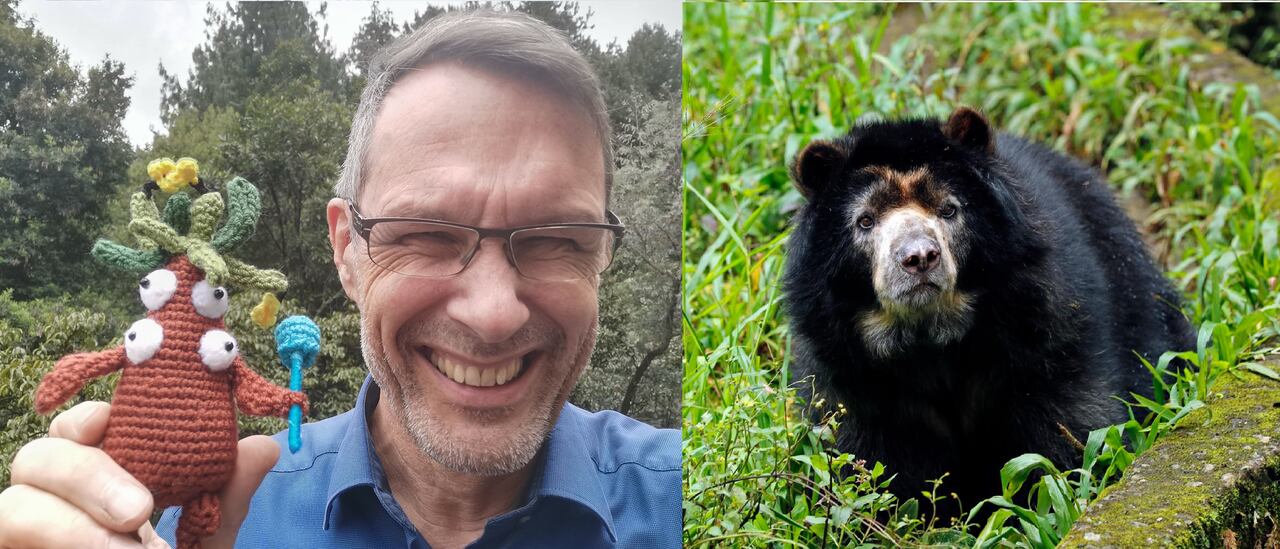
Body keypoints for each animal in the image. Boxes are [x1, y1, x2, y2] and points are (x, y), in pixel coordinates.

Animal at [783, 106, 1193, 520]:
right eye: (865, 220)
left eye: (949, 209)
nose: (919, 257)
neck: (932, 341)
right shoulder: (852, 377)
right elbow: (869, 460)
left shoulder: (1043, 335)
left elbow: (1069, 431)